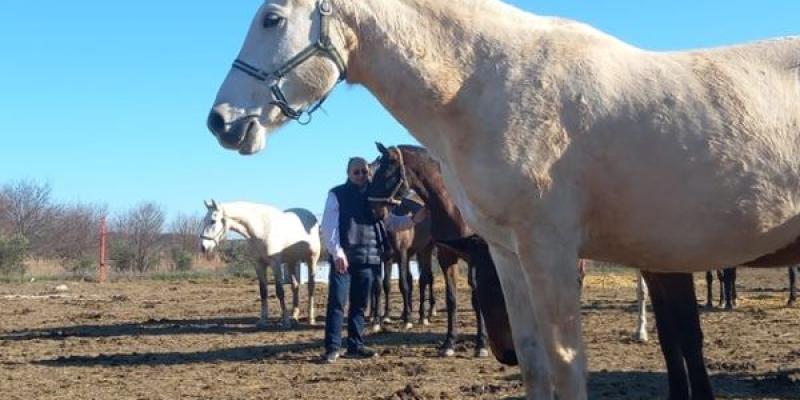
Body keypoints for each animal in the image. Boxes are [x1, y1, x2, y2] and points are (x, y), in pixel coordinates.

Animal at [207, 1, 800, 397]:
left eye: (272, 19)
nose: (220, 122)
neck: (484, 85)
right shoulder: (509, 255)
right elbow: (535, 362)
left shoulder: (552, 252)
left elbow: (567, 363)